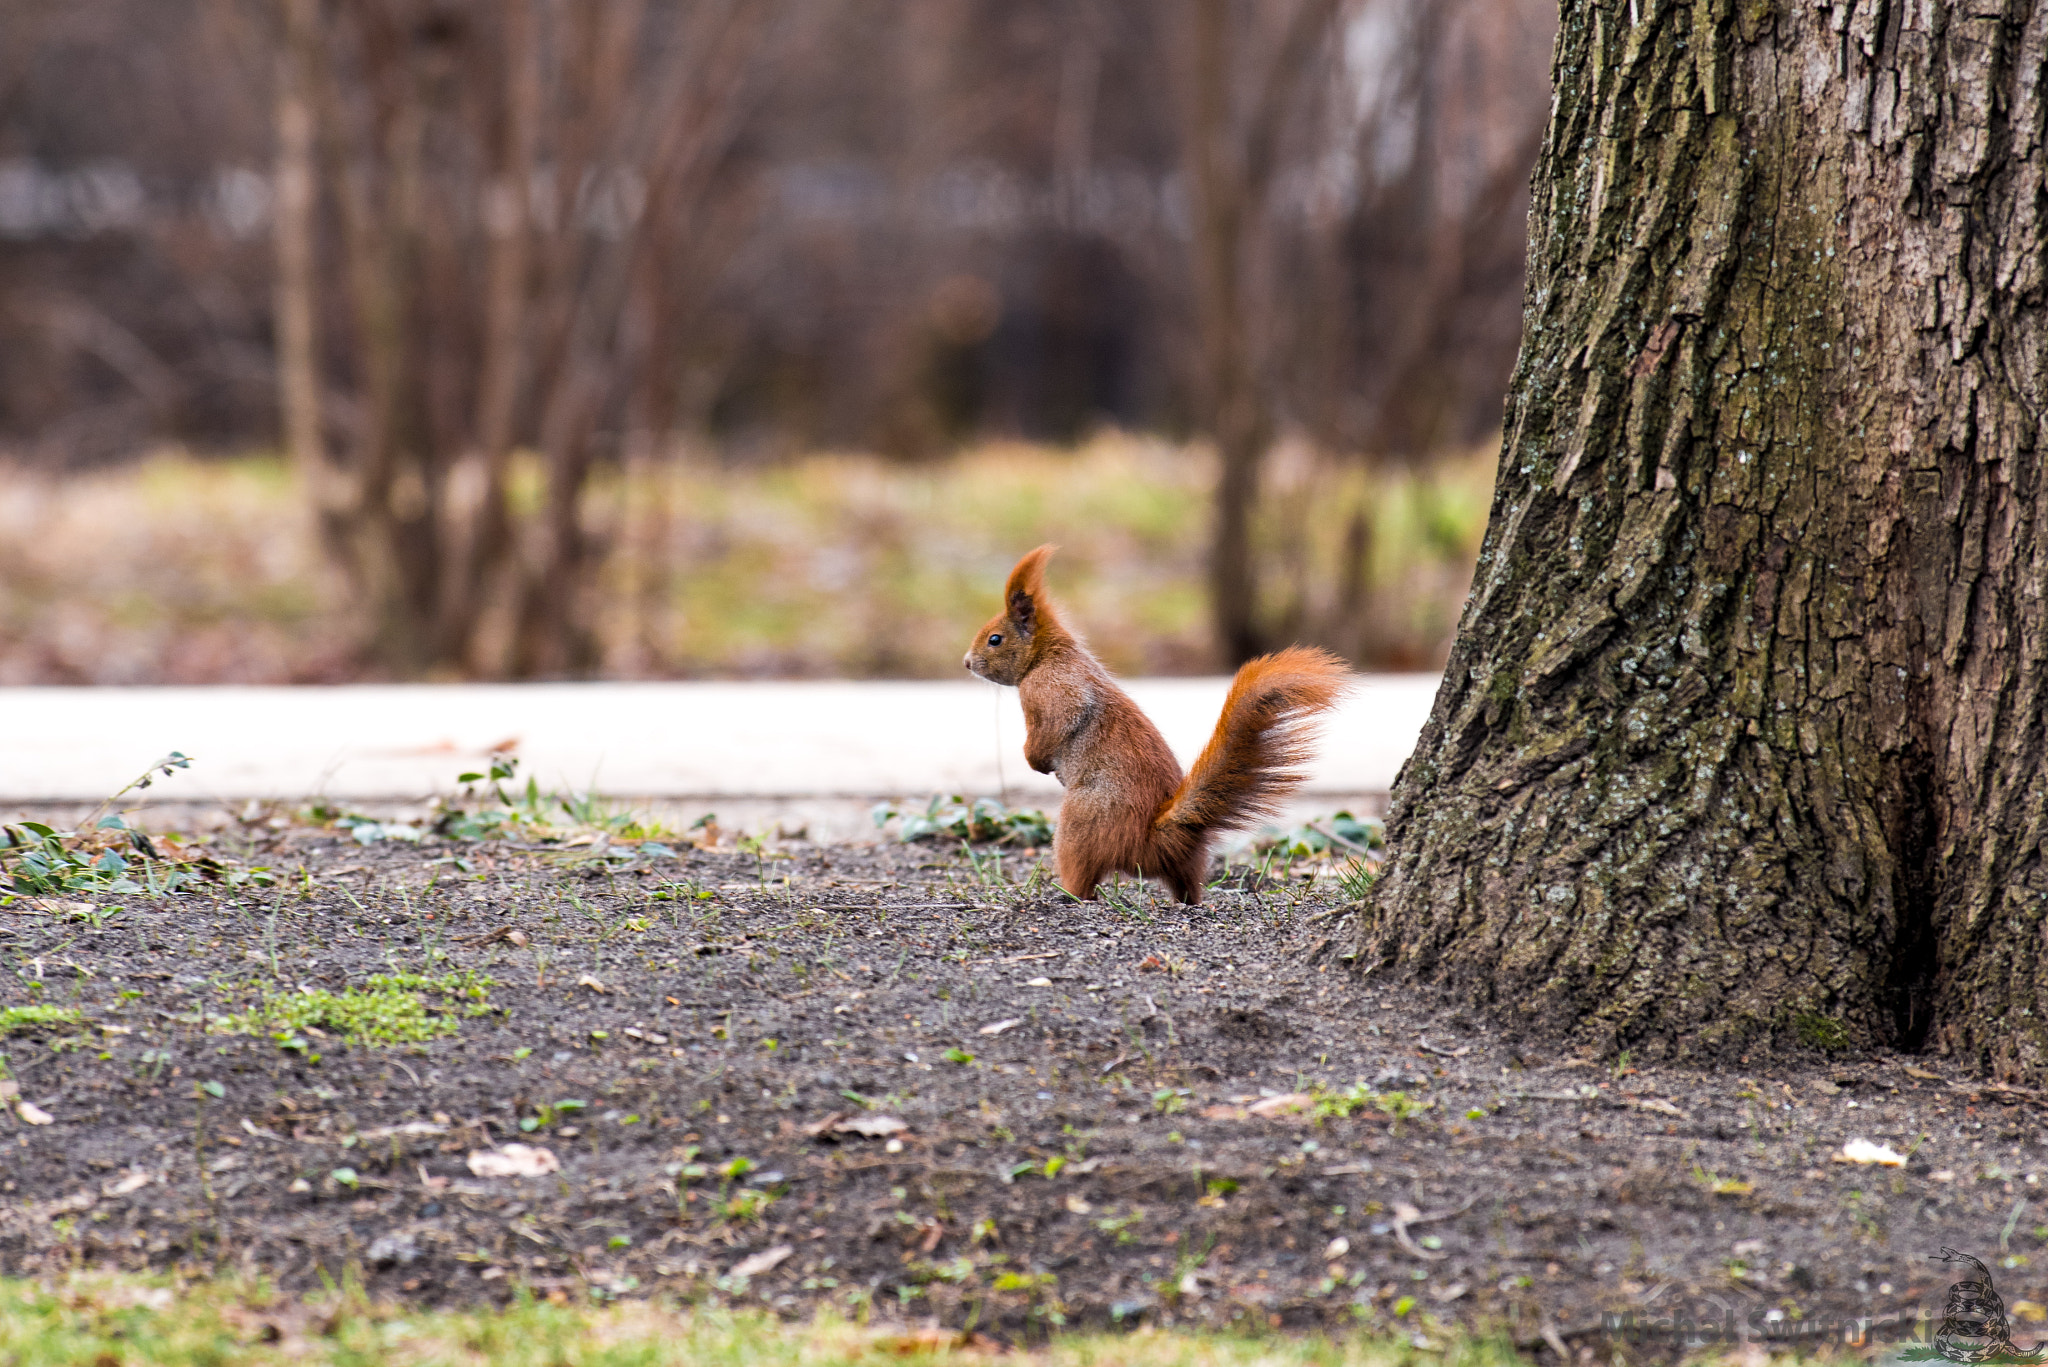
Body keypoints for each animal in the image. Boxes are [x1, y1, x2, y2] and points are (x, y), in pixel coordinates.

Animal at [962, 545, 1351, 909]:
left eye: (995, 639)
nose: (966, 663)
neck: (1049, 655)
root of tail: (1154, 839)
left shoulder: (1051, 691)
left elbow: (1053, 729)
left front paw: (1036, 762)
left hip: (1080, 824)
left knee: (1083, 877)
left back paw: (1067, 894)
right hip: (1187, 862)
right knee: (1188, 887)